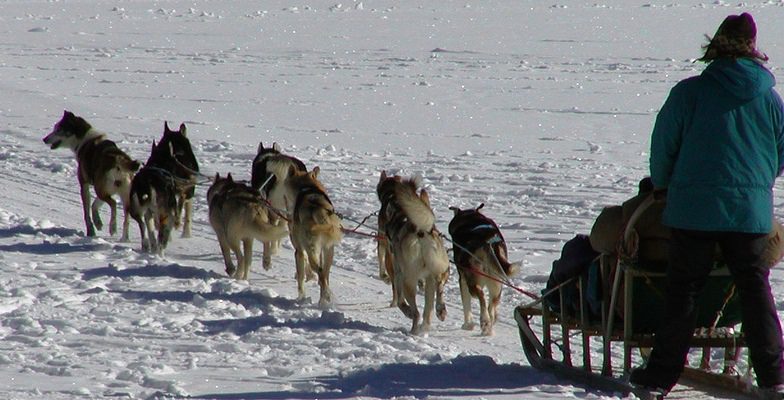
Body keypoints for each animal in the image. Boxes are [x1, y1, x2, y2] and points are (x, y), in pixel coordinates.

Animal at [42, 110, 139, 241]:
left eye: (58, 129)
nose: (44, 139)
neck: (84, 140)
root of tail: (118, 160)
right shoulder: (106, 190)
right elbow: (94, 205)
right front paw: (98, 223)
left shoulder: (84, 185)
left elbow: (87, 212)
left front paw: (91, 231)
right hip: (121, 194)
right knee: (126, 217)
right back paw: (124, 238)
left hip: (102, 190)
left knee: (113, 204)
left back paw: (112, 227)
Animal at [284, 167, 342, 308]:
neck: (307, 188)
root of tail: (317, 207)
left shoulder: (299, 251)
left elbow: (300, 278)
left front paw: (301, 298)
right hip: (328, 251)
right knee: (325, 274)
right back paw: (323, 301)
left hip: (311, 251)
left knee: (320, 273)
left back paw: (326, 296)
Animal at [378, 171, 450, 334]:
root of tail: (420, 231)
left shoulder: (396, 268)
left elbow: (399, 299)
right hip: (439, 271)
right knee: (435, 297)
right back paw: (439, 312)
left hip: (407, 280)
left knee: (416, 312)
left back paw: (413, 328)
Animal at [450, 205, 516, 336]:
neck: (470, 218)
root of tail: (488, 242)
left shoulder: (462, 279)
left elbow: (466, 303)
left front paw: (468, 325)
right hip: (496, 284)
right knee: (491, 306)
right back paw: (489, 326)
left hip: (473, 281)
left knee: (481, 296)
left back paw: (484, 321)